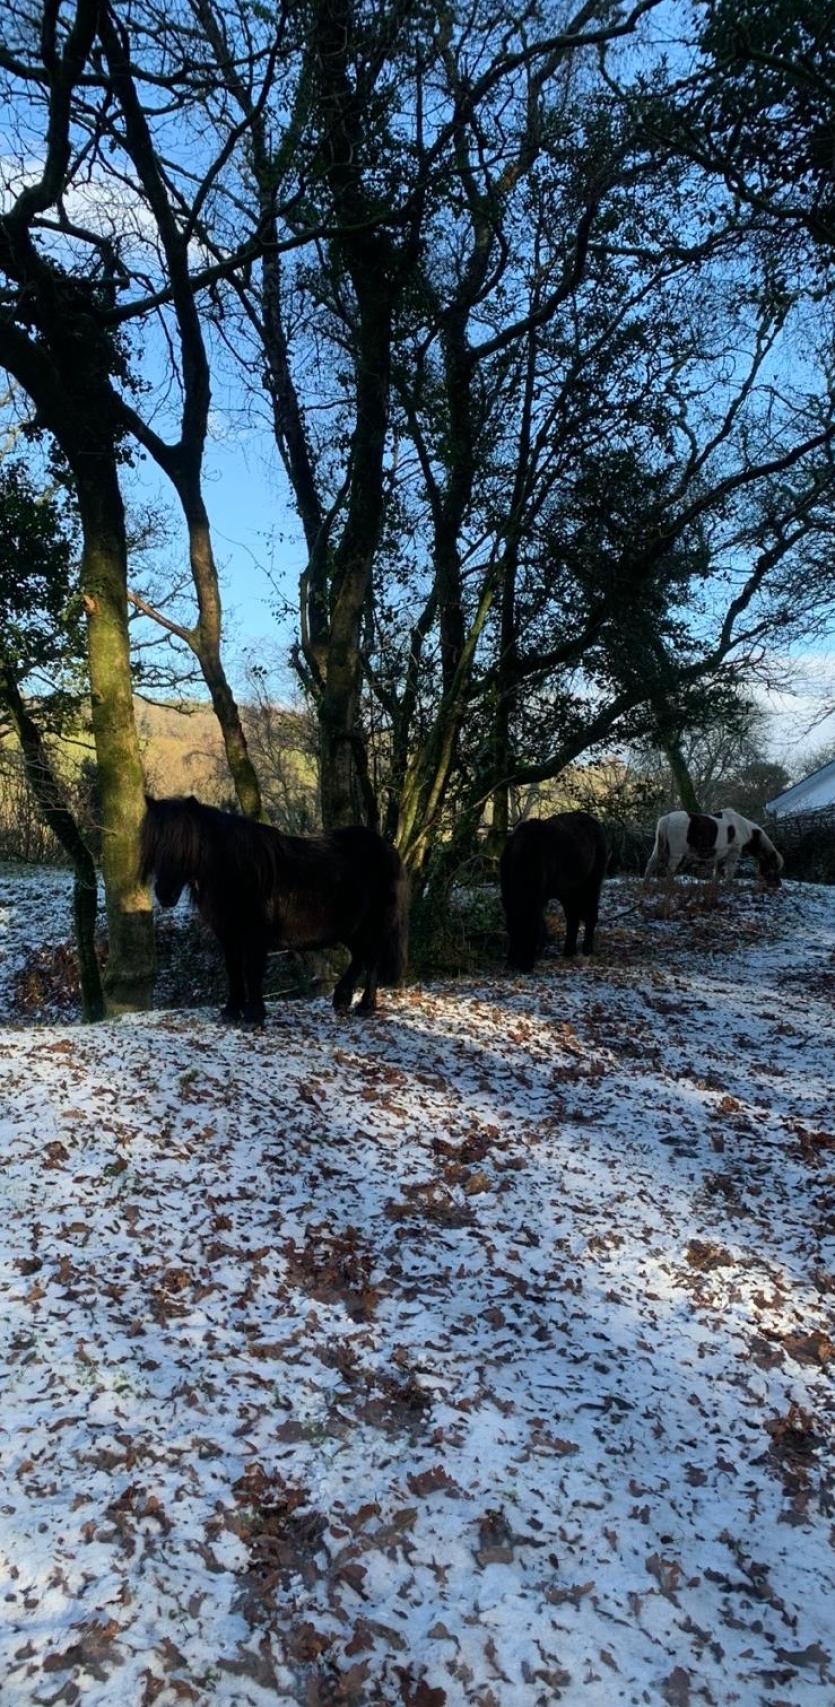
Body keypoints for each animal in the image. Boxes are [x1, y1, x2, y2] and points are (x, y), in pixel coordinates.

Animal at [139, 795, 409, 1024]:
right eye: (155, 845)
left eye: (186, 845)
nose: (165, 895)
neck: (238, 870)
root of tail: (387, 849)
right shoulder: (229, 935)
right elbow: (234, 970)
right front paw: (231, 1012)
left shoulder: (255, 935)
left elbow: (251, 971)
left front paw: (253, 1015)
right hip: (352, 930)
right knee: (361, 957)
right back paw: (343, 1000)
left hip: (372, 926)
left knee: (371, 959)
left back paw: (363, 1005)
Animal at [500, 811, 608, 971]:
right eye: (512, 929)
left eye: (533, 932)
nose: (524, 966)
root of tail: (595, 822)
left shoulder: (538, 900)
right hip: (569, 891)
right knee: (573, 917)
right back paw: (569, 951)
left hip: (591, 884)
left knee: (590, 915)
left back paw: (587, 949)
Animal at [644, 808, 783, 885]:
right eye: (772, 865)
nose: (778, 885)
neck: (743, 828)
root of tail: (666, 819)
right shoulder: (733, 853)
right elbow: (730, 870)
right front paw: (728, 885)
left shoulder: (720, 856)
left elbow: (717, 872)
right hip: (676, 853)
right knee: (670, 869)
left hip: (659, 848)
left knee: (651, 863)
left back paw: (646, 883)